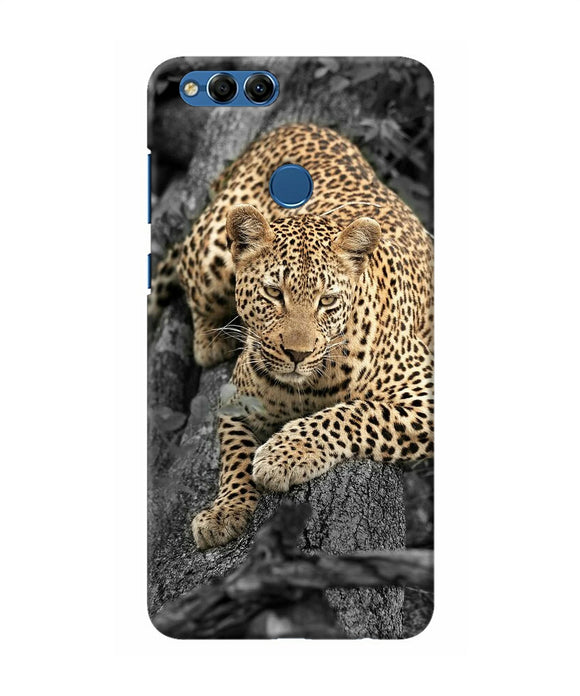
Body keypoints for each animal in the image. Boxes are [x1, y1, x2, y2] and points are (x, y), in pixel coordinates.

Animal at [151, 123, 433, 550]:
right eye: (273, 293)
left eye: (327, 300)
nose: (297, 354)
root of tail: (295, 126)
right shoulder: (236, 400)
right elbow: (234, 454)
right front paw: (225, 510)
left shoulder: (425, 395)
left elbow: (354, 413)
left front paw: (283, 455)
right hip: (211, 251)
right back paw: (211, 339)